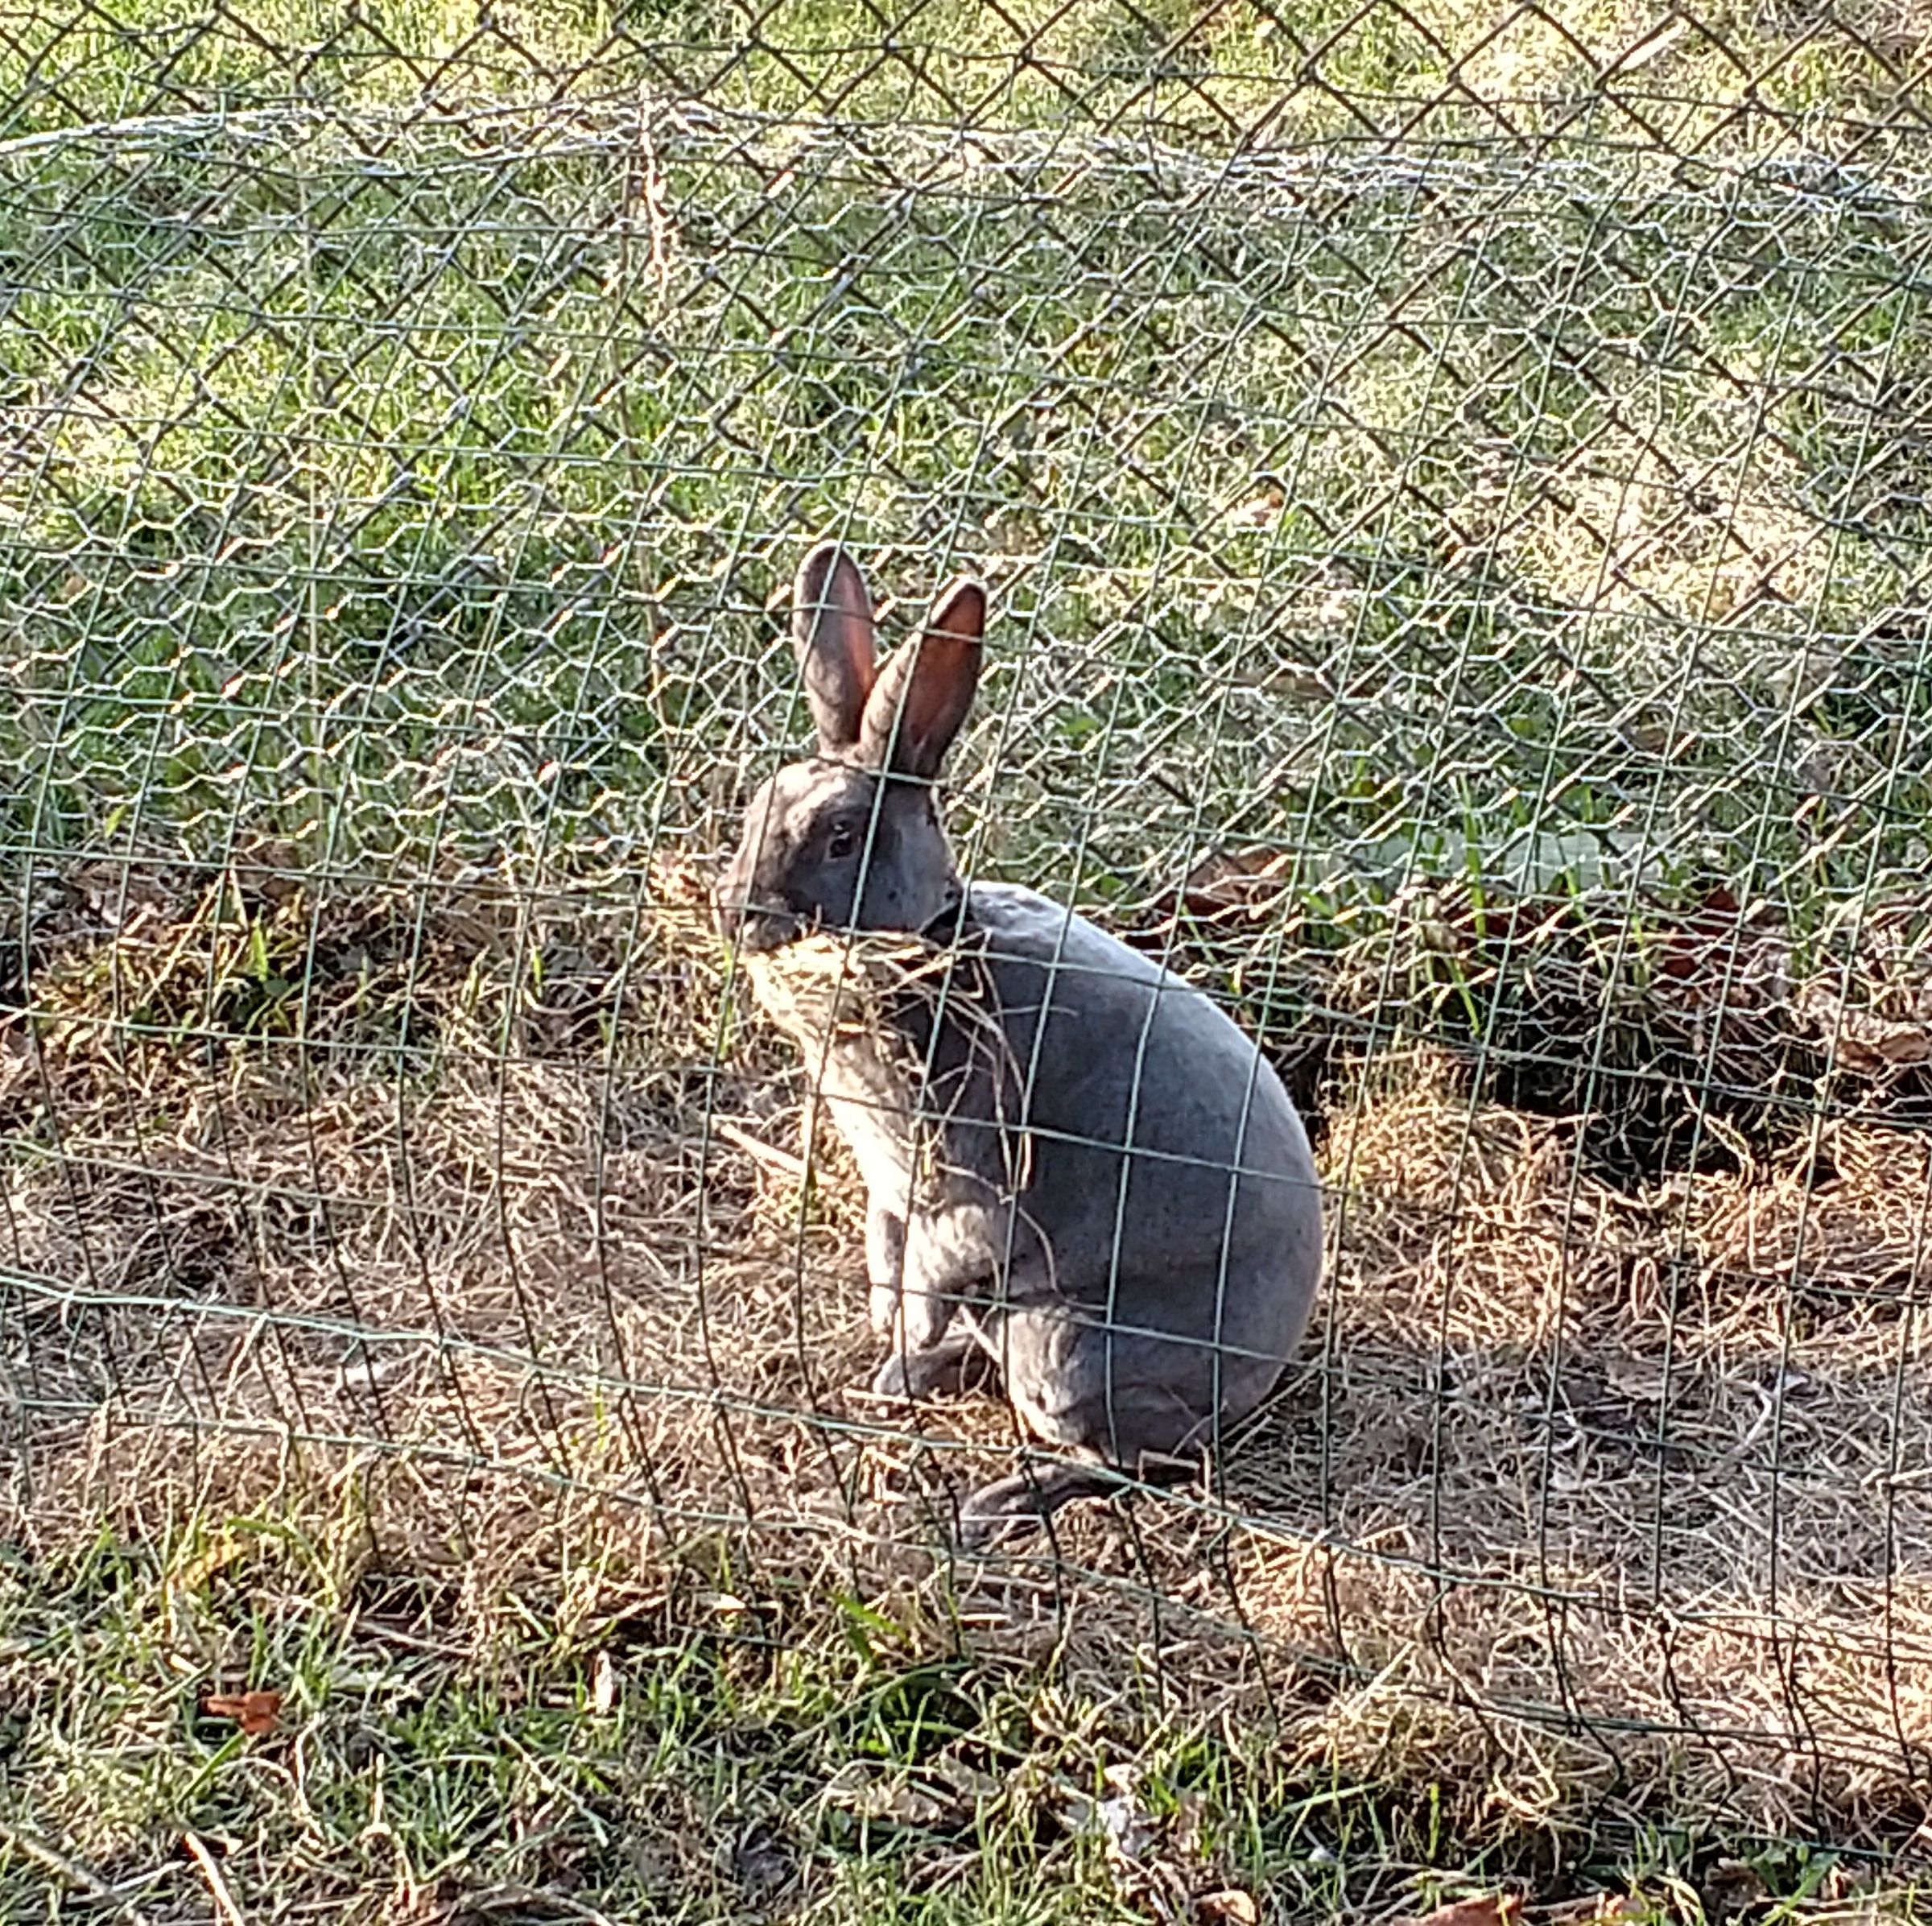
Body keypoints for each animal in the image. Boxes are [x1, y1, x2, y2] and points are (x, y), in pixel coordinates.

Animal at [715, 540, 1323, 1543]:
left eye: (841, 837)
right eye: (757, 807)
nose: (738, 913)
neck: (935, 947)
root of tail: (1258, 1377)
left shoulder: (964, 1196)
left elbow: (929, 1276)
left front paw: (900, 1358)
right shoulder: (892, 1197)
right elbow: (888, 1267)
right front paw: (889, 1359)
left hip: (1065, 1347)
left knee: (1140, 1460)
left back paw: (993, 1504)